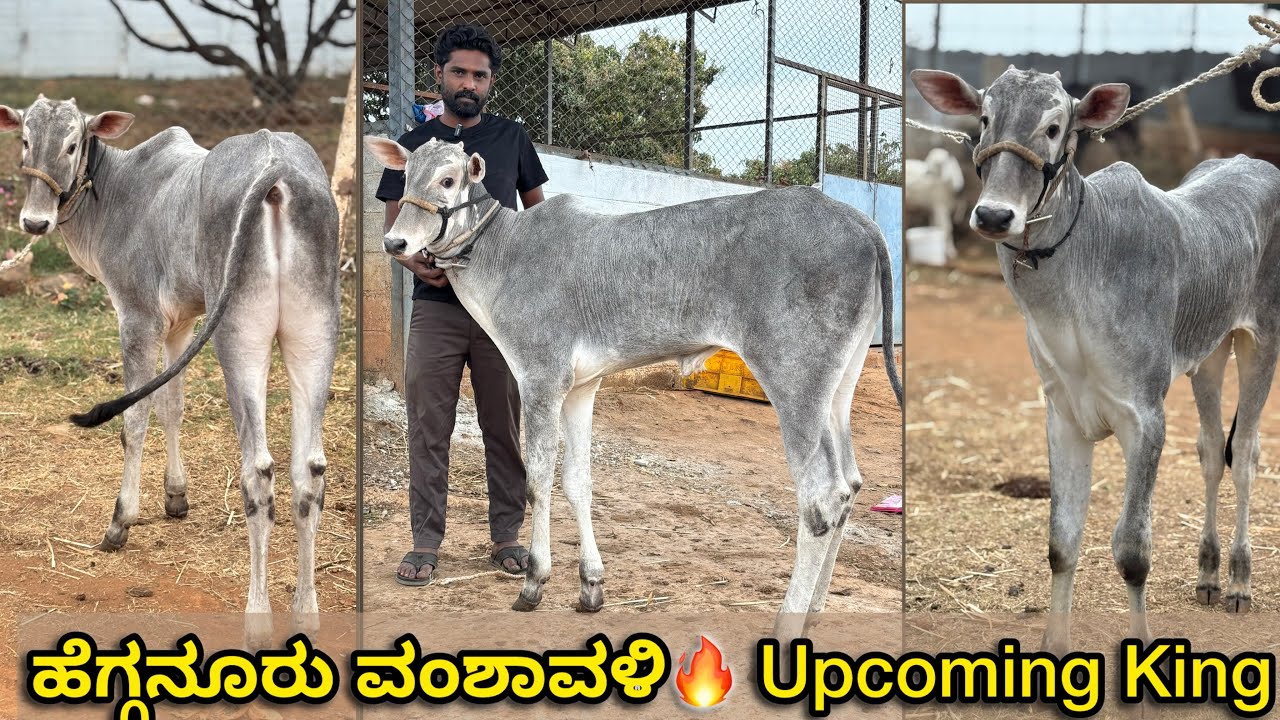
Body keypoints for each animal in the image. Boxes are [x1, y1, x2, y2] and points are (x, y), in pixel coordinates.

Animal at [0, 96, 341, 646]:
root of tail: (278, 168)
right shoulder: (181, 323)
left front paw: (121, 521)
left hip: (238, 336)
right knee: (308, 471)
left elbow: (135, 419)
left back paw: (258, 617)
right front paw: (176, 497)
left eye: (72, 144)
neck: (121, 192)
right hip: (315, 332)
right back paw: (305, 612)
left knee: (259, 471)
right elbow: (172, 406)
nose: (34, 222)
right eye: (25, 140)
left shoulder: (137, 317)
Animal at [365, 134, 903, 644]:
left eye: (449, 180)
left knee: (821, 499)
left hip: (794, 378)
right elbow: (577, 481)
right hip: (839, 386)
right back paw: (816, 610)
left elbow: (537, 479)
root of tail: (862, 224)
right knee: (850, 485)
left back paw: (789, 623)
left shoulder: (540, 377)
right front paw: (590, 586)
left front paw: (534, 583)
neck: (503, 254)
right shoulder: (581, 387)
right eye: (405, 176)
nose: (394, 242)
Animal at [912, 66, 1280, 654]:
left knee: (1243, 452)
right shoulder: (1063, 414)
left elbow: (1132, 551)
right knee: (1208, 449)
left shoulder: (1144, 416)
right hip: (1208, 353)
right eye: (984, 119)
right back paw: (1207, 574)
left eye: (1054, 127)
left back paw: (1240, 581)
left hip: (1260, 340)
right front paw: (1054, 645)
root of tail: (1250, 159)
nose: (993, 214)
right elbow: (1062, 541)